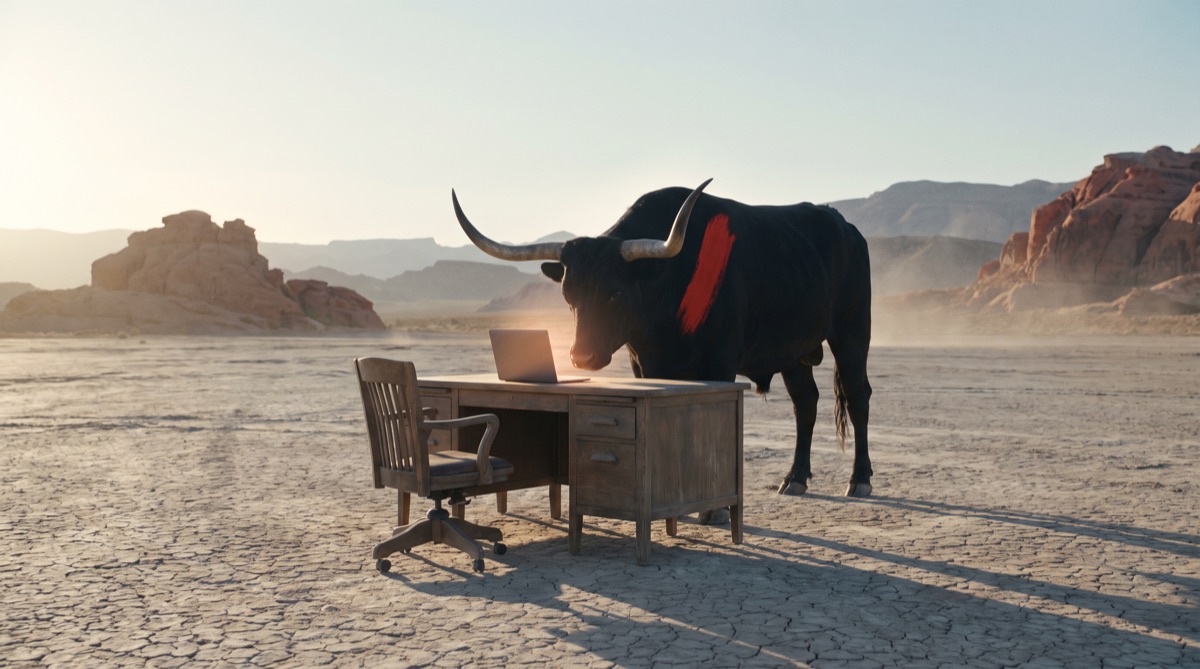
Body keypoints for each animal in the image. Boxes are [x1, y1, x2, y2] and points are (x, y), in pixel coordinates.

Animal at [451, 180, 874, 498]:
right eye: (569, 296)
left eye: (614, 293)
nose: (582, 357)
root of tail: (848, 230)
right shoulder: (645, 366)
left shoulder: (719, 364)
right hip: (792, 351)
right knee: (806, 402)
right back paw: (795, 478)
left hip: (852, 333)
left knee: (857, 396)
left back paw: (860, 480)